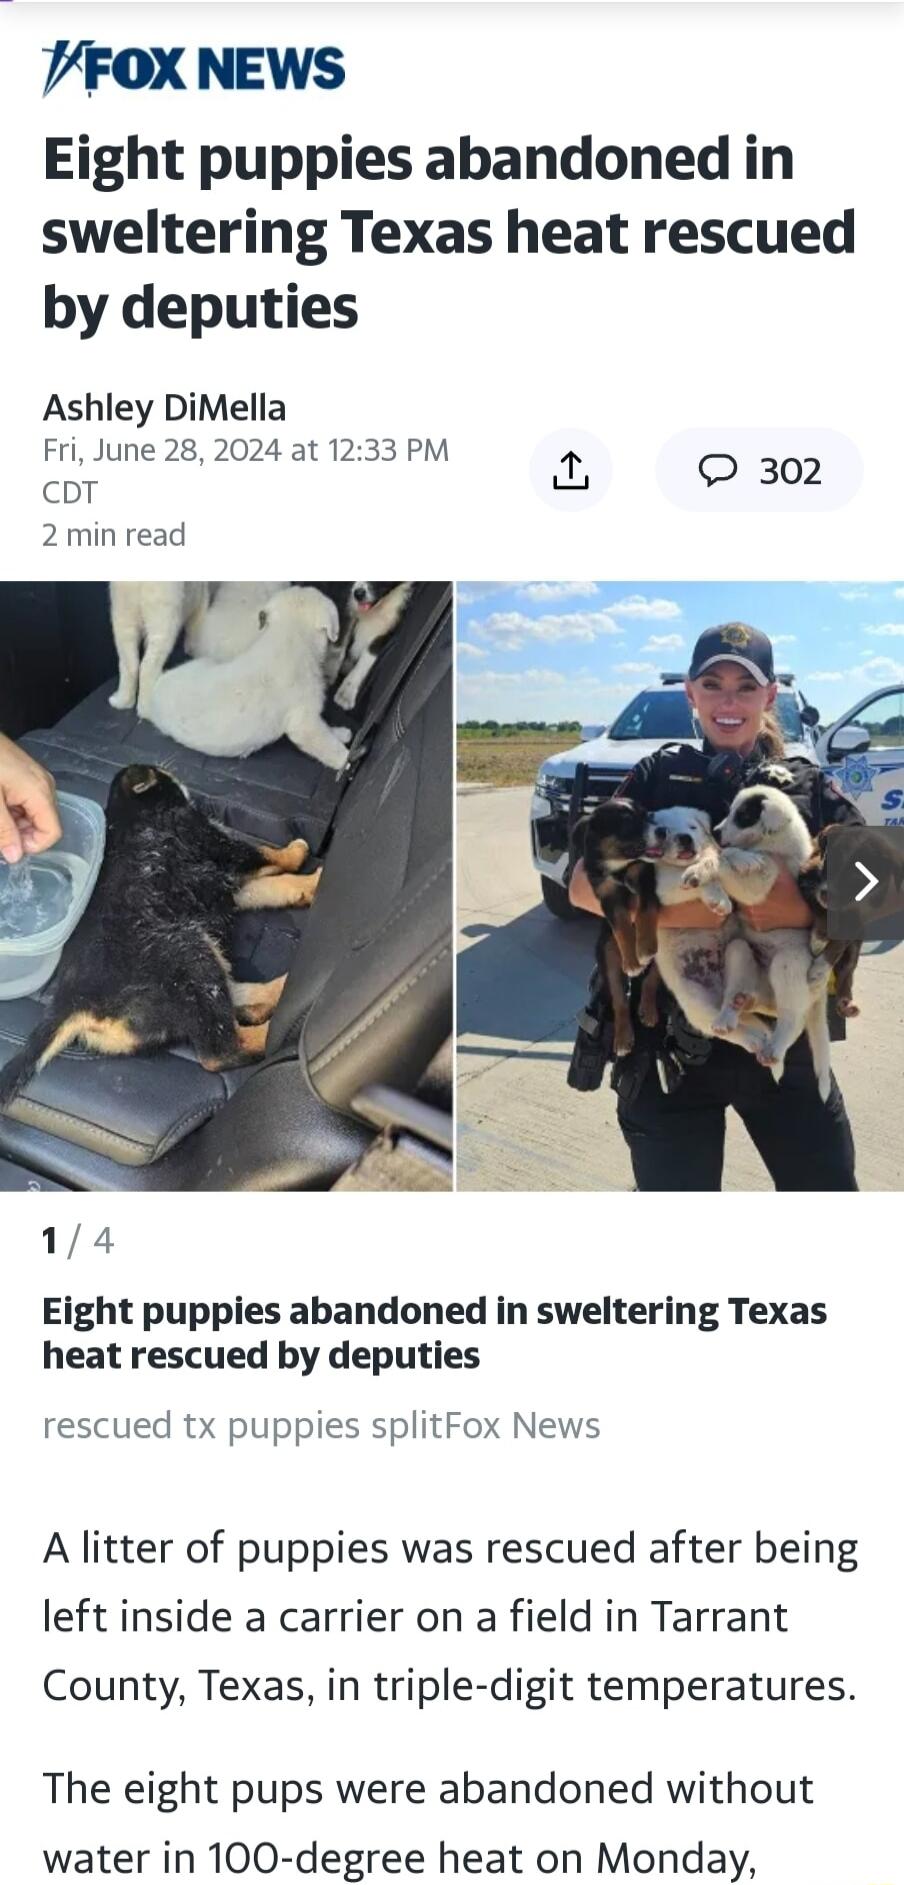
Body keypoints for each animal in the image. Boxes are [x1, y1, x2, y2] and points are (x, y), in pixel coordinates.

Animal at [0, 765, 322, 1115]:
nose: (169, 769)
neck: (128, 812)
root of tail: (73, 1000)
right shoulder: (214, 843)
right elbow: (271, 857)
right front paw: (302, 857)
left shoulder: (228, 884)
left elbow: (280, 886)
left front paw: (310, 886)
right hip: (189, 956)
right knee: (219, 1050)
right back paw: (277, 1031)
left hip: (190, 968)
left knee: (234, 998)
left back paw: (280, 991)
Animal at [108, 576, 210, 716]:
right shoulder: (200, 599)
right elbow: (196, 627)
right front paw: (194, 650)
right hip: (163, 616)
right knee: (147, 667)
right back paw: (147, 709)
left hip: (123, 613)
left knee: (129, 664)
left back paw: (121, 700)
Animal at [146, 584, 352, 769]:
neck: (290, 636)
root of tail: (156, 688)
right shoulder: (304, 723)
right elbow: (326, 744)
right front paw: (346, 759)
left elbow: (326, 730)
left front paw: (341, 734)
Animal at [583, 799, 659, 1063]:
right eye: (627, 823)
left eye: (646, 815)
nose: (663, 831)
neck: (619, 867)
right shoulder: (608, 896)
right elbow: (623, 927)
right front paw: (632, 960)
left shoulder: (647, 881)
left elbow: (645, 912)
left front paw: (644, 947)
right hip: (606, 956)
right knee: (620, 1002)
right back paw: (623, 1040)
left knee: (651, 981)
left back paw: (648, 1010)